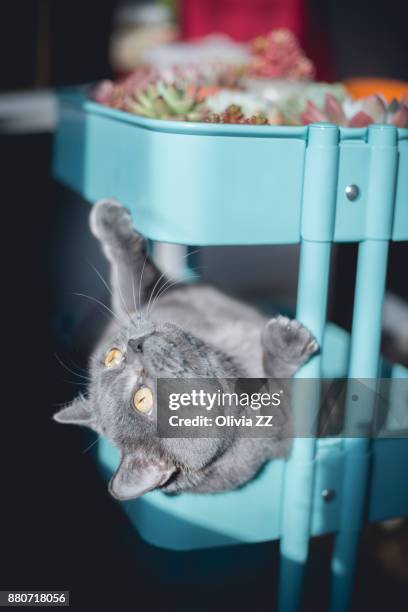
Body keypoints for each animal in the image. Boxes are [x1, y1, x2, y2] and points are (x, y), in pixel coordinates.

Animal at [52, 203, 318, 500]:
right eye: (142, 400)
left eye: (113, 356)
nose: (135, 346)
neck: (227, 357)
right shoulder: (278, 434)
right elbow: (280, 388)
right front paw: (285, 342)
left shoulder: (146, 302)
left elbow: (130, 279)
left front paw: (108, 218)